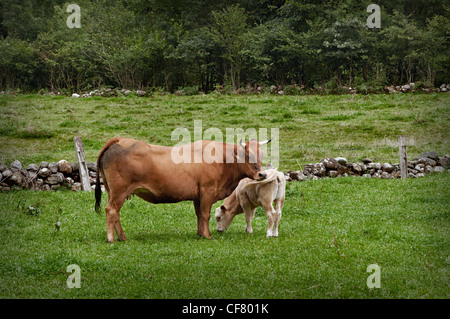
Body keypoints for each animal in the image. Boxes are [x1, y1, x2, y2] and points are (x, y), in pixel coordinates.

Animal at [95, 137, 270, 242]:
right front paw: (207, 235)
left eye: (261, 155)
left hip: (113, 192)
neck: (222, 160)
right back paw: (111, 238)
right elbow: (205, 214)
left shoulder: (198, 196)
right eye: (248, 155)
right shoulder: (207, 191)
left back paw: (122, 237)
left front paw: (200, 233)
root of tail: (120, 140)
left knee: (115, 213)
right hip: (119, 192)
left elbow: (199, 215)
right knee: (111, 210)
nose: (262, 174)